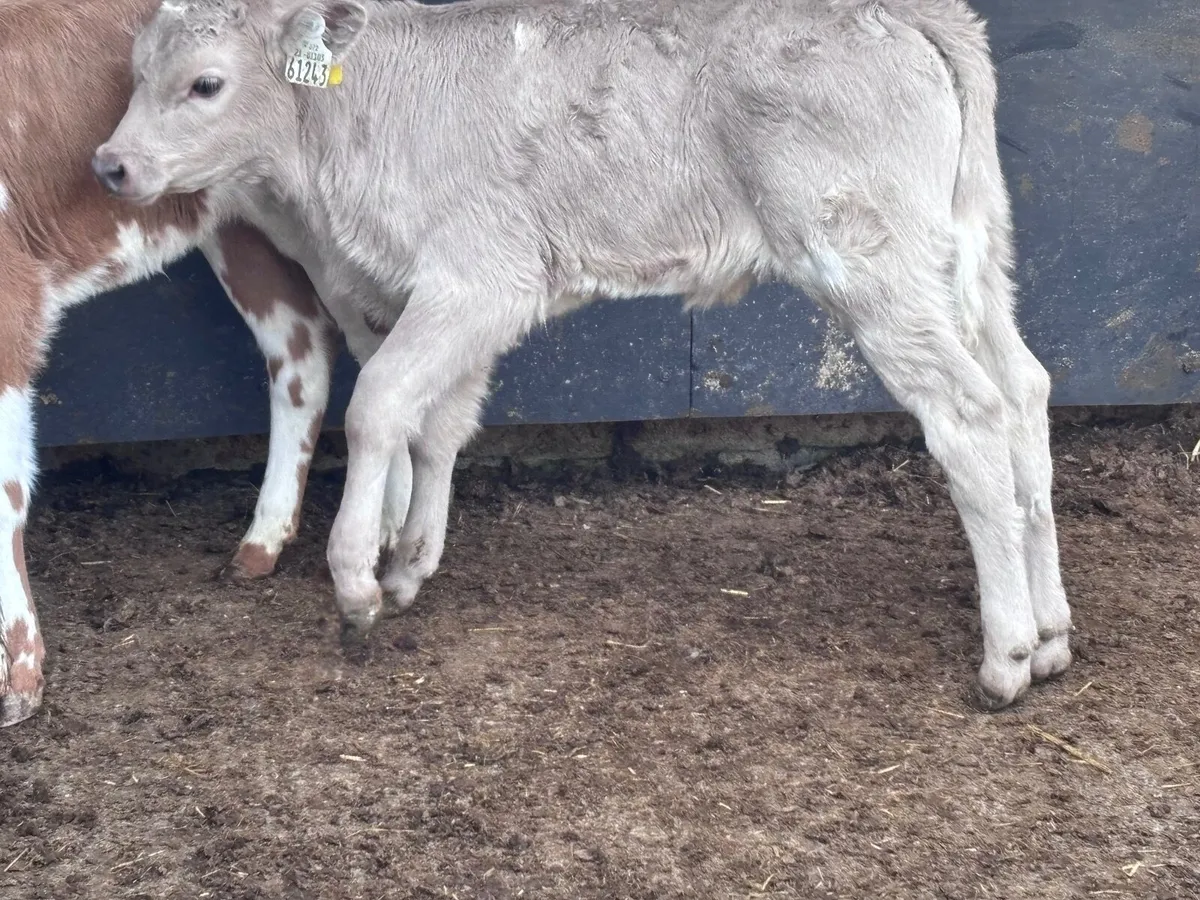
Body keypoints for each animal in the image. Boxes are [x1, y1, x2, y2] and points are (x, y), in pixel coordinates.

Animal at [1, 0, 412, 727]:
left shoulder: (11, 293)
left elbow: (6, 488)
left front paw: (20, 676)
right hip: (243, 223)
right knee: (303, 346)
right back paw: (265, 541)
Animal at [95, 0, 1074, 709]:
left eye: (206, 84)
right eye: (136, 76)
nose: (109, 164)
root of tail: (908, 13)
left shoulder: (475, 279)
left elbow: (377, 407)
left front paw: (357, 583)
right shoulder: (455, 299)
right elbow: (436, 425)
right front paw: (409, 560)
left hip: (872, 264)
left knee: (969, 413)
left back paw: (1006, 654)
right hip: (968, 257)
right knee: (1024, 390)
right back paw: (1053, 633)